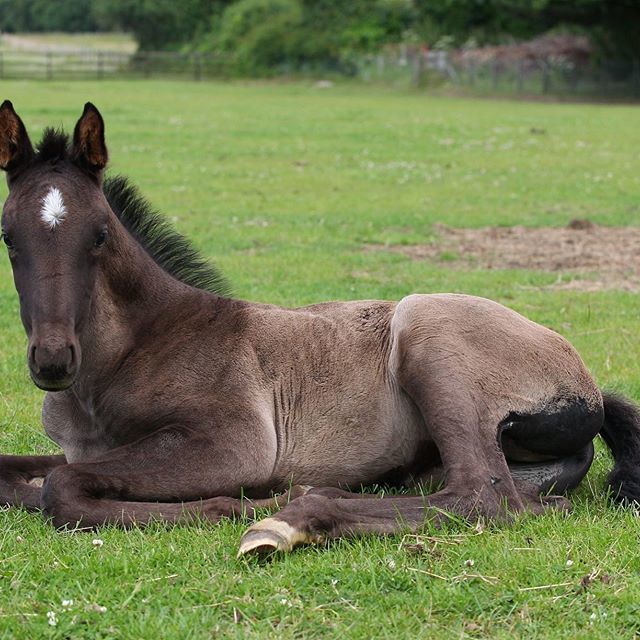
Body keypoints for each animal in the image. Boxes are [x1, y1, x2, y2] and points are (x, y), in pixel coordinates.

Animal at [0, 101, 638, 557]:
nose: (52, 359)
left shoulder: (231, 444)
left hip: (428, 333)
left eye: (100, 234)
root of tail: (588, 387)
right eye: (7, 235)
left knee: (481, 495)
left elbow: (63, 490)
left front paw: (232, 506)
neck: (137, 347)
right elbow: (23, 478)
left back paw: (293, 518)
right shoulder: (86, 448)